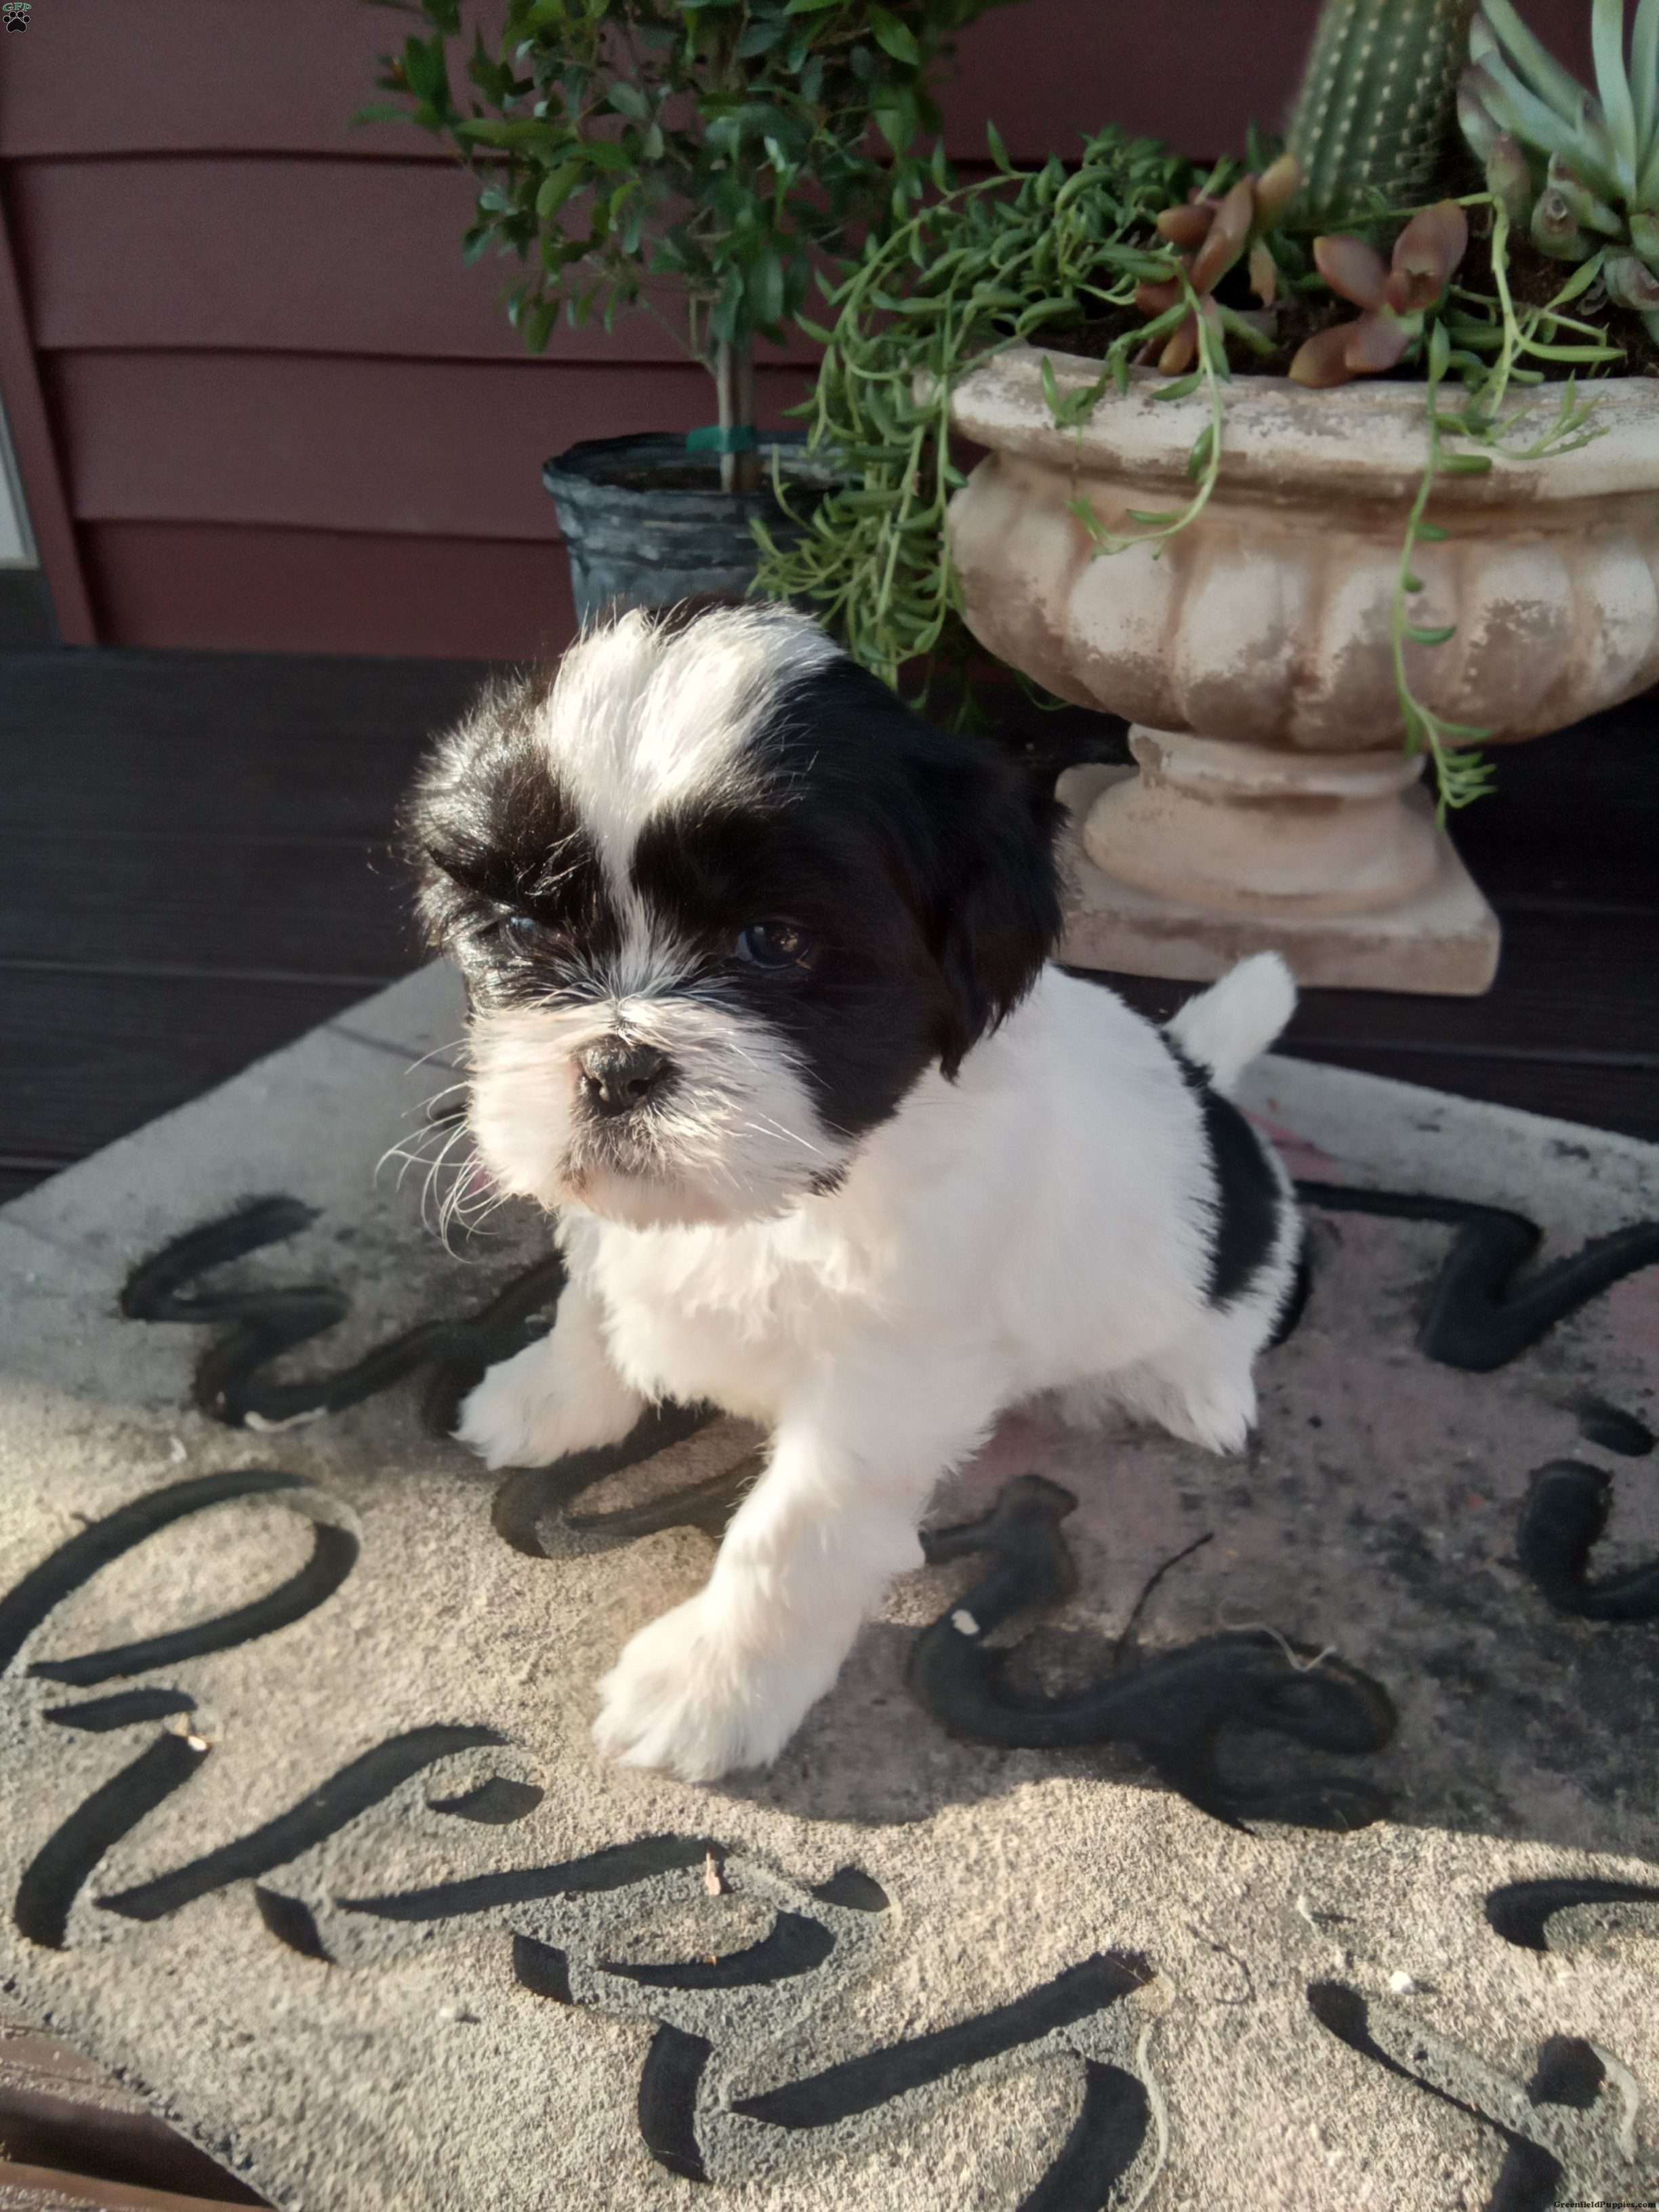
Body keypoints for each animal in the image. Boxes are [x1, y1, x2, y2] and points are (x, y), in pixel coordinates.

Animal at [406, 601, 1304, 1782]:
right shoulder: (620, 1232)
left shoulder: (893, 1373)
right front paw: (553, 1399)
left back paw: (1197, 1387)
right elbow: (592, 1299)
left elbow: (794, 1530)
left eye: (773, 943)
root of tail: (1199, 1071)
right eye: (520, 930)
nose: (615, 1065)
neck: (782, 1203)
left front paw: (713, 1685)